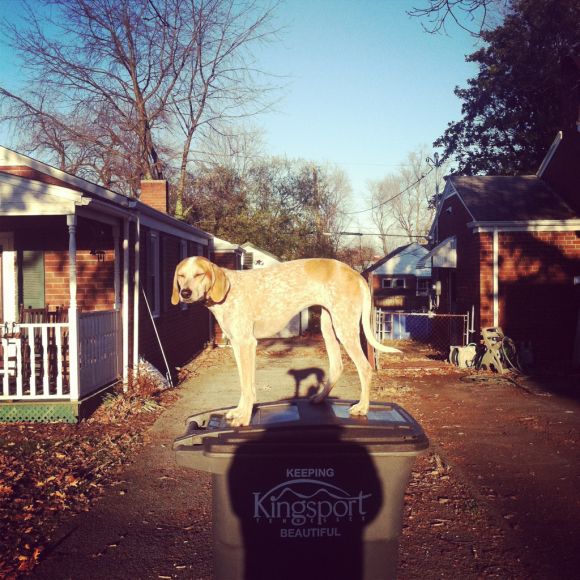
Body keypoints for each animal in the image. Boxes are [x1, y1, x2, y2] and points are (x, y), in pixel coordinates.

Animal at [170, 258, 402, 426]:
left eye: (199, 274)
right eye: (181, 276)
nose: (185, 293)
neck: (227, 292)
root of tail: (356, 274)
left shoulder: (246, 344)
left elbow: (249, 386)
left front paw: (244, 417)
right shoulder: (237, 345)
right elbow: (243, 385)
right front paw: (239, 411)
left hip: (345, 327)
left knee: (365, 367)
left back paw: (362, 407)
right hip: (329, 326)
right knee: (337, 366)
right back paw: (319, 398)